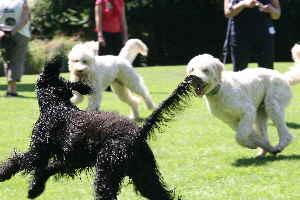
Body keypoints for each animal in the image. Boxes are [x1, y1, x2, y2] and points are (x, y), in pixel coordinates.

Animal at [0, 56, 204, 200]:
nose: (54, 63)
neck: (57, 106)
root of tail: (137, 133)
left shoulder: (37, 152)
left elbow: (18, 160)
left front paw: (2, 174)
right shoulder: (70, 159)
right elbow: (47, 168)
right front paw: (35, 188)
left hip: (108, 172)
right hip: (145, 176)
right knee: (162, 195)